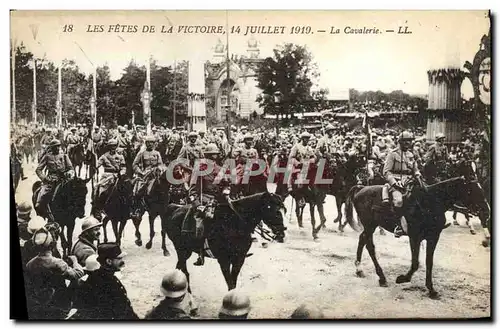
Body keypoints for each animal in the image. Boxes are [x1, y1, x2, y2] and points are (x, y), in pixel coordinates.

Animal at [346, 160, 490, 298]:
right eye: (471, 189)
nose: (486, 210)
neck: (430, 201)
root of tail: (361, 188)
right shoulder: (414, 237)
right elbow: (415, 262)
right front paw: (403, 278)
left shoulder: (433, 237)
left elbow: (429, 262)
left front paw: (431, 290)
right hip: (369, 225)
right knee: (370, 246)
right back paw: (381, 277)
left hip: (371, 226)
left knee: (362, 239)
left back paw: (360, 270)